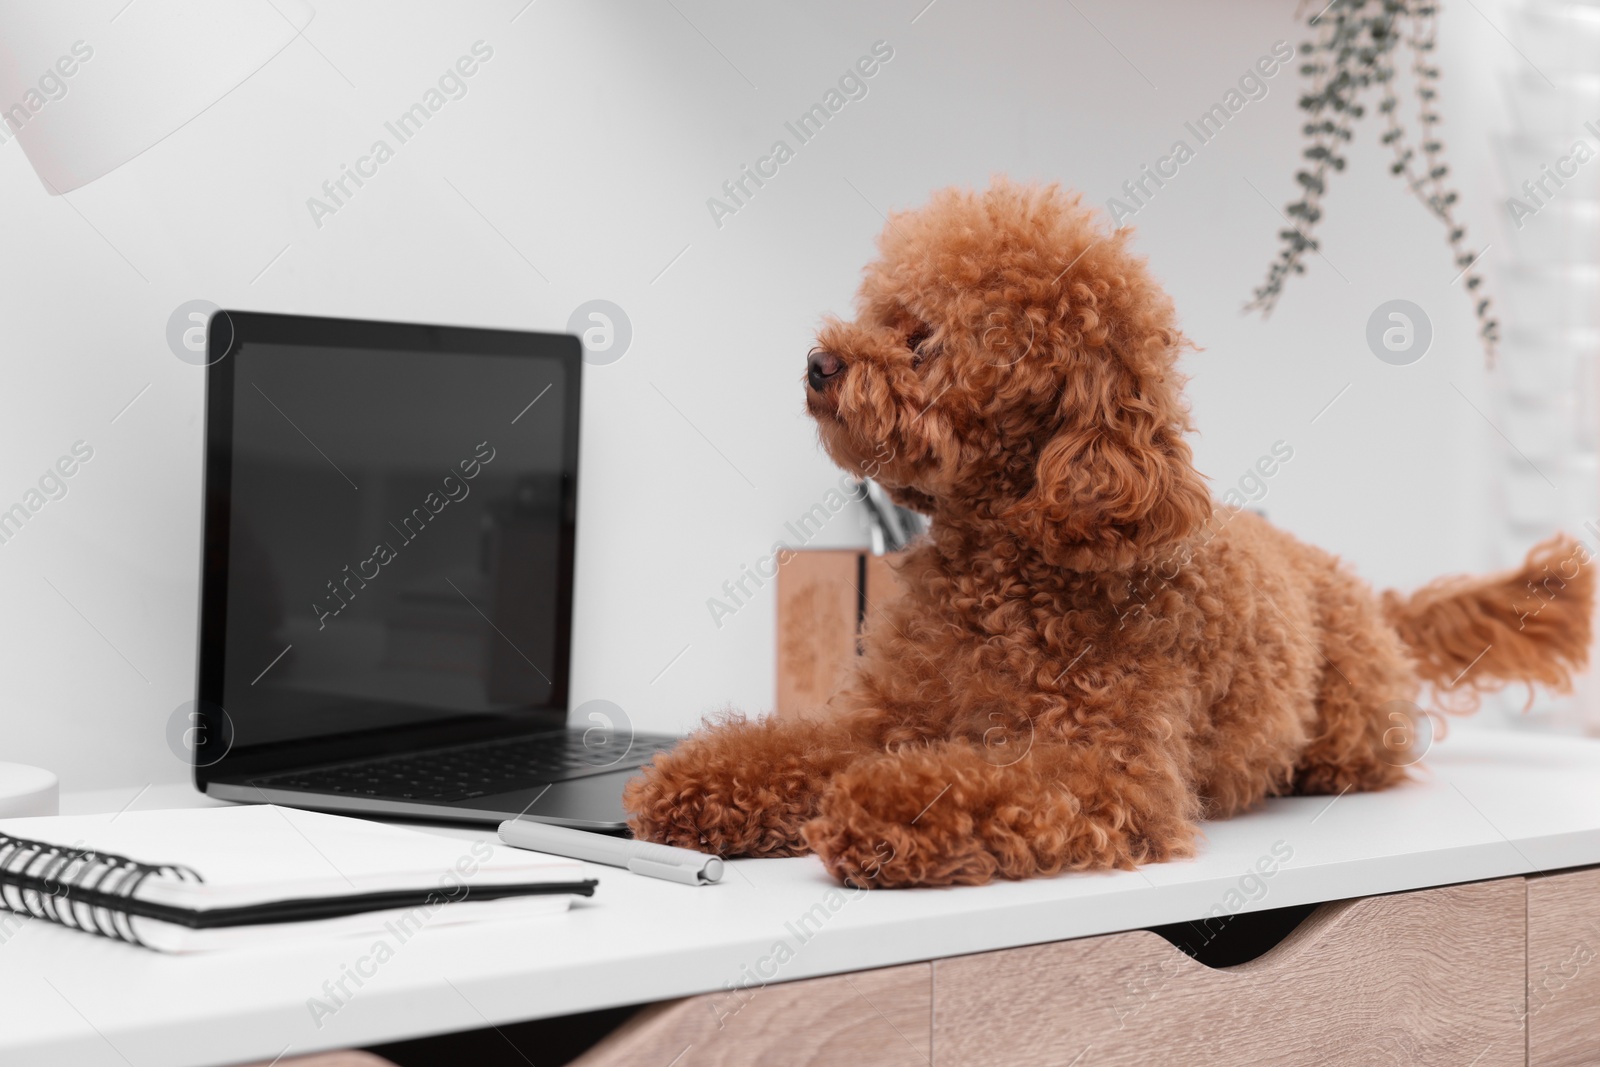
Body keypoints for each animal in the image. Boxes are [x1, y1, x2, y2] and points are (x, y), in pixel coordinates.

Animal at [620, 177, 1587, 895]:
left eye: (926, 339)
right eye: (883, 310)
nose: (819, 364)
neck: (1002, 569)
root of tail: (1359, 585)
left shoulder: (1105, 769)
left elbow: (975, 780)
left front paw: (878, 816)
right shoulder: (883, 719)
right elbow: (794, 748)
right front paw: (692, 784)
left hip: (1353, 727)